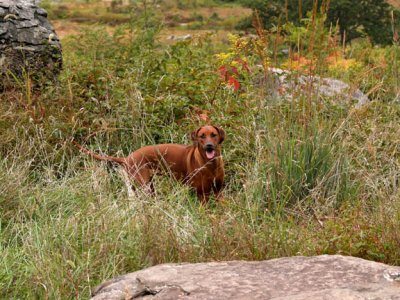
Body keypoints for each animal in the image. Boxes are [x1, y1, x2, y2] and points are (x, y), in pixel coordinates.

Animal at [73, 125, 225, 203]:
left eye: (213, 134)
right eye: (202, 136)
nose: (209, 146)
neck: (211, 164)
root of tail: (127, 158)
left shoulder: (218, 191)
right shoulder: (201, 194)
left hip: (145, 186)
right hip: (144, 185)